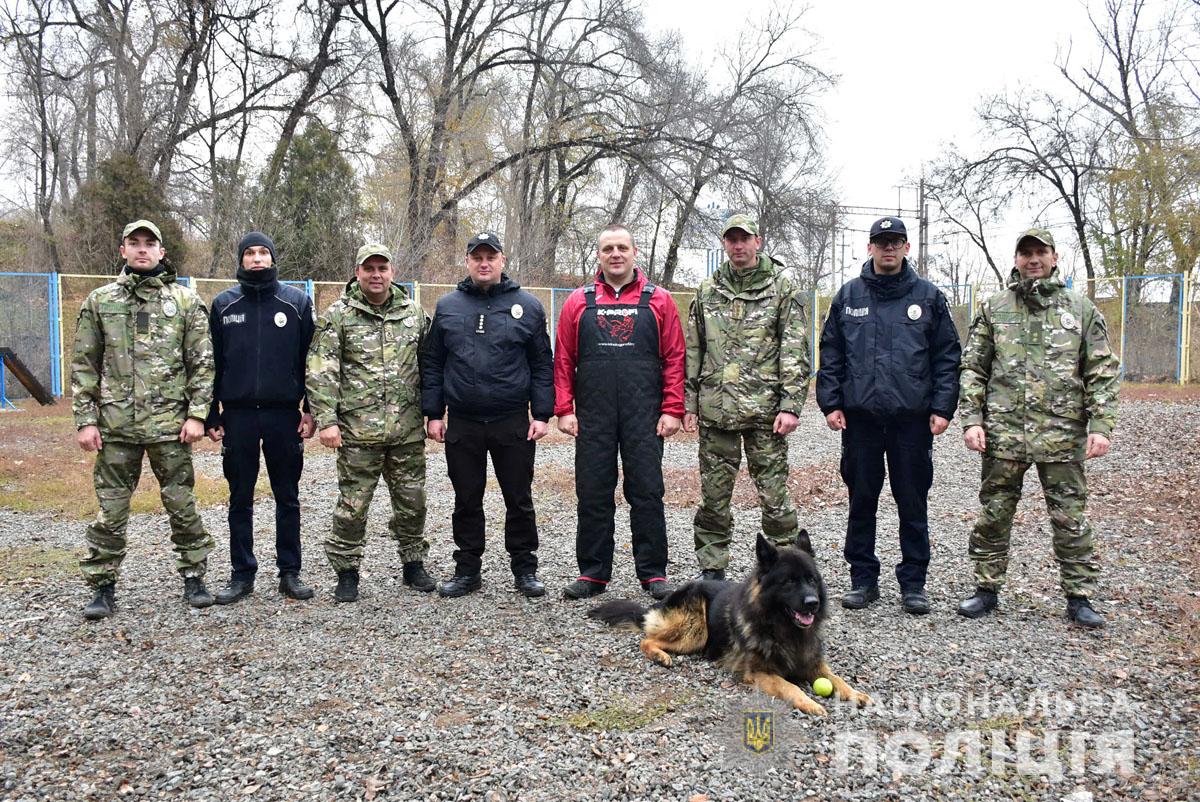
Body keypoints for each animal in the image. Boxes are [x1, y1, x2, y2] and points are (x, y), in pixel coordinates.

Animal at [588, 533, 873, 715]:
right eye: (789, 582)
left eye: (812, 580)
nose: (812, 603)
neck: (783, 629)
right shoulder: (759, 673)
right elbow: (789, 686)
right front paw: (810, 703)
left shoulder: (813, 663)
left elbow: (837, 679)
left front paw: (856, 693)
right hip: (695, 629)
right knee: (647, 639)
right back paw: (660, 656)